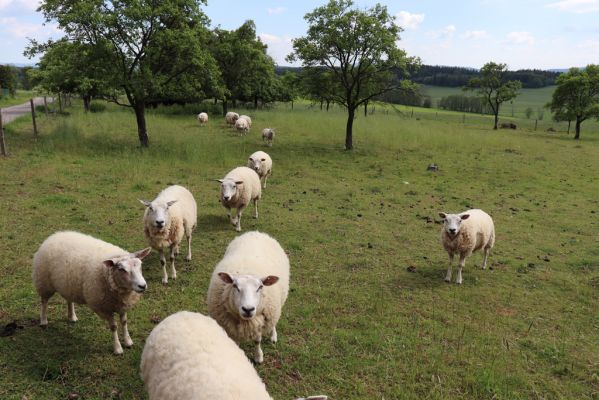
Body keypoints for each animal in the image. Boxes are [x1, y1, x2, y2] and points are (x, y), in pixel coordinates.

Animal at [207, 230, 290, 364]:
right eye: (235, 286)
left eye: (260, 287)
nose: (248, 309)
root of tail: (256, 232)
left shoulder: (259, 321)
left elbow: (257, 341)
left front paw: (258, 357)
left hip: (277, 304)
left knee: (274, 322)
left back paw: (273, 336)